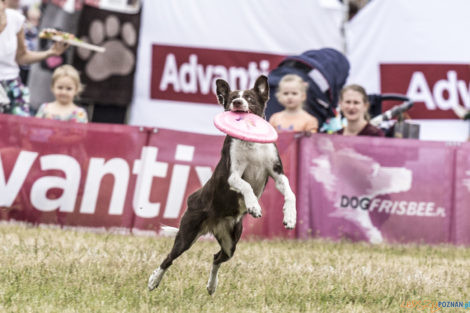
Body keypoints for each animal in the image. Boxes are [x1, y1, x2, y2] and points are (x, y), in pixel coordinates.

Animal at [147, 75, 296, 292]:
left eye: (249, 98)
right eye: (232, 98)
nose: (237, 102)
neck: (251, 143)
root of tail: (212, 224)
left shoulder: (277, 174)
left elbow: (290, 194)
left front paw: (290, 218)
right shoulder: (232, 176)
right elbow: (246, 186)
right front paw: (254, 206)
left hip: (230, 241)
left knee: (217, 257)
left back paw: (212, 286)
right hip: (187, 233)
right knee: (169, 258)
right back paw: (154, 280)